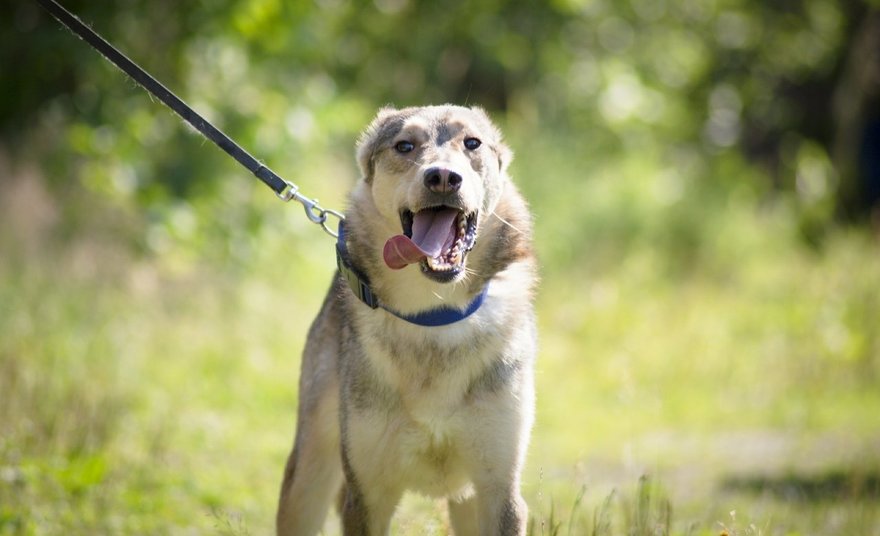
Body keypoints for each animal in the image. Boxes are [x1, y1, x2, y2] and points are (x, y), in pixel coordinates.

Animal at [276, 105, 536, 536]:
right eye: (404, 146)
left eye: (472, 143)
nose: (443, 177)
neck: (433, 317)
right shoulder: (366, 496)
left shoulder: (500, 490)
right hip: (310, 469)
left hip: (467, 502)